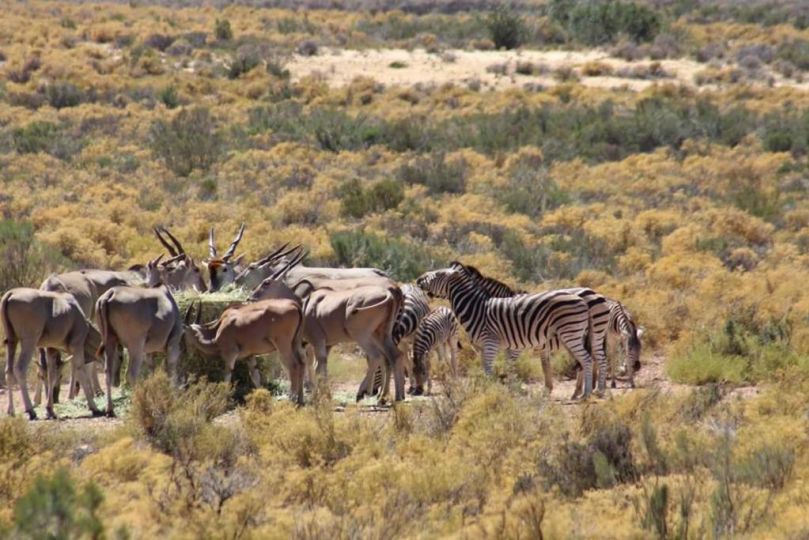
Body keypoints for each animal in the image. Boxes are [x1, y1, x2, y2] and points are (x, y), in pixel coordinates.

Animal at [1, 288, 104, 420]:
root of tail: (10, 294)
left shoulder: (51, 349)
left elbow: (51, 375)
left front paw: (50, 410)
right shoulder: (77, 346)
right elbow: (80, 371)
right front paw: (94, 407)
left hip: (11, 340)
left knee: (8, 371)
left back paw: (11, 411)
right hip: (29, 341)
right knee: (20, 369)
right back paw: (31, 411)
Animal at [95, 284, 182, 416]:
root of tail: (110, 293)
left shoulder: (147, 352)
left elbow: (152, 370)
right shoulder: (173, 343)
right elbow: (172, 370)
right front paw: (174, 399)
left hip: (110, 341)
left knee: (108, 372)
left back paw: (110, 409)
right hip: (135, 346)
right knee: (131, 374)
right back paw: (142, 405)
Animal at [248, 255, 410, 402]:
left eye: (266, 282)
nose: (251, 297)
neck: (305, 303)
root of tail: (389, 294)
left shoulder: (317, 341)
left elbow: (319, 367)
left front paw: (320, 396)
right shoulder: (325, 344)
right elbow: (319, 367)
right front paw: (322, 395)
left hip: (361, 336)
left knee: (375, 357)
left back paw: (362, 394)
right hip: (382, 334)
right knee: (394, 356)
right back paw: (392, 396)